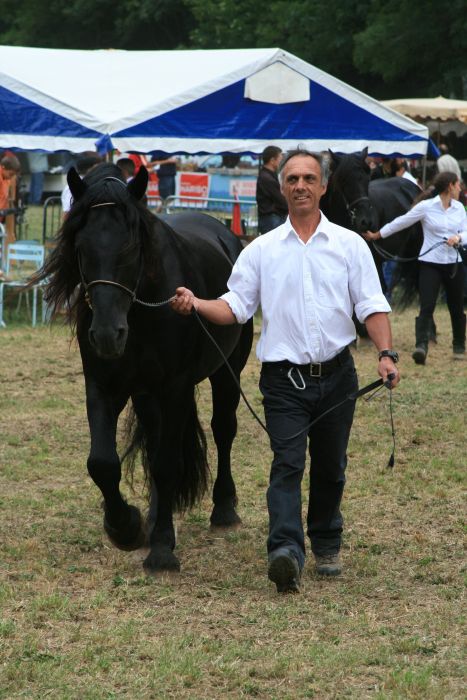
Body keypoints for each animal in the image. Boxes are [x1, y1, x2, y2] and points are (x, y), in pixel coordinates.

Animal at [39, 163, 252, 576]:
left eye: (132, 248)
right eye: (81, 248)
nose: (108, 334)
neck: (140, 310)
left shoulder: (175, 388)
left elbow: (168, 464)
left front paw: (162, 549)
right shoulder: (103, 387)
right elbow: (103, 463)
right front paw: (127, 528)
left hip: (226, 370)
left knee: (223, 430)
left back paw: (223, 509)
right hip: (147, 394)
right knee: (154, 445)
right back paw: (154, 517)